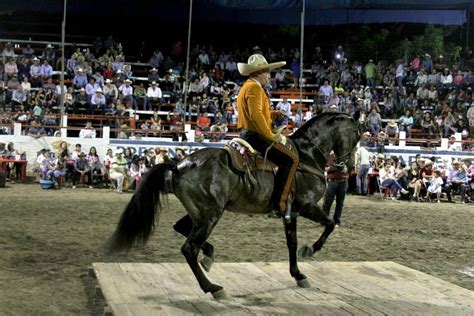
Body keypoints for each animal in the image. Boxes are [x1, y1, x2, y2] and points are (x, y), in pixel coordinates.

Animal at [107, 113, 360, 298]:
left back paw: (209, 255)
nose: (348, 167)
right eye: (358, 135)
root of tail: (179, 164)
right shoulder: (307, 205)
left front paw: (298, 274)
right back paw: (212, 287)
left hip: (200, 213)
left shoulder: (292, 212)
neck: (307, 156)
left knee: (181, 228)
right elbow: (330, 224)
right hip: (210, 214)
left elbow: (292, 242)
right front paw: (311, 249)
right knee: (189, 248)